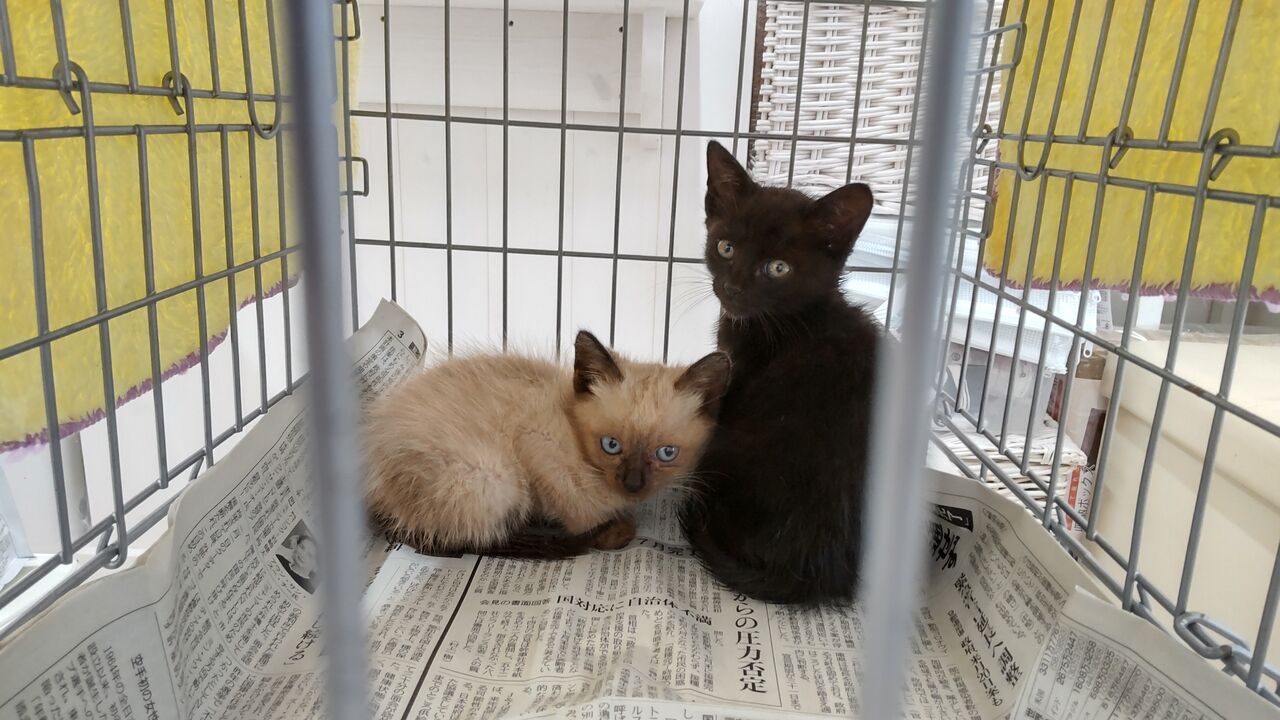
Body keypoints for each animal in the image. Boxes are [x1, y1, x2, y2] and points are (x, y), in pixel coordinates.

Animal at [364, 330, 730, 558]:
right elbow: (582, 513)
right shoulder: (535, 445)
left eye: (666, 453)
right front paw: (613, 528)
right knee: (467, 536)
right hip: (495, 478)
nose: (633, 485)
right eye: (611, 445)